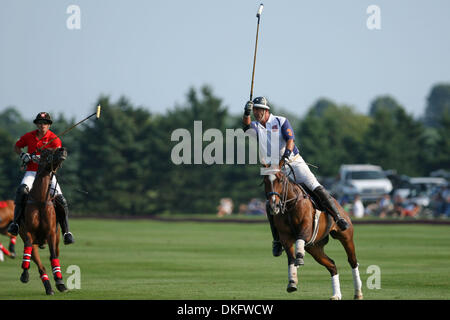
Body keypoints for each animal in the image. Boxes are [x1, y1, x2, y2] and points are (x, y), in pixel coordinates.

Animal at [18, 148, 68, 296]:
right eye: (46, 152)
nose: (62, 150)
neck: (40, 200)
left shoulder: (51, 233)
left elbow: (53, 257)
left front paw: (60, 282)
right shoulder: (28, 233)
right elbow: (27, 250)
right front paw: (25, 275)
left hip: (57, 239)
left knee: (53, 256)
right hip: (33, 242)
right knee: (40, 266)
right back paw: (48, 287)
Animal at [264, 164, 362, 302]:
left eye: (281, 180)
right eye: (265, 181)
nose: (273, 205)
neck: (290, 205)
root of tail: (339, 204)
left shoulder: (306, 229)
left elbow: (299, 241)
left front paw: (299, 258)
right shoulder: (285, 237)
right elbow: (291, 258)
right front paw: (292, 281)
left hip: (346, 236)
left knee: (352, 261)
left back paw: (358, 293)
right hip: (314, 247)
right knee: (332, 265)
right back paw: (336, 295)